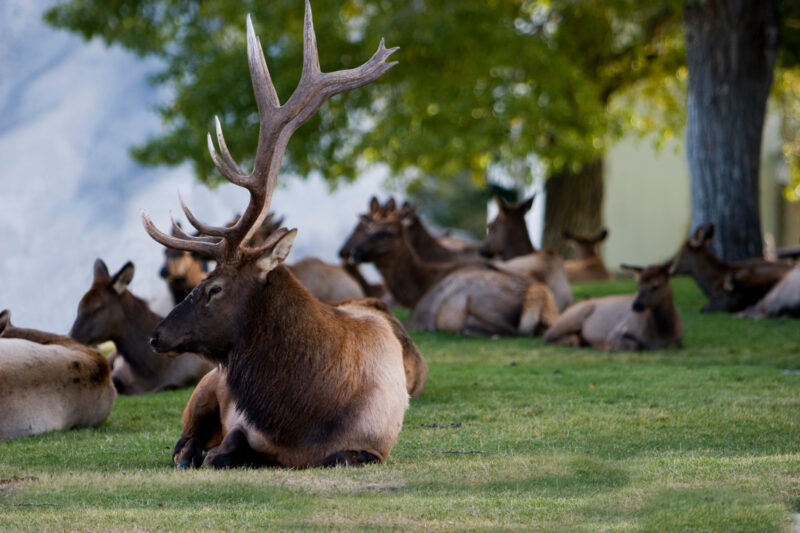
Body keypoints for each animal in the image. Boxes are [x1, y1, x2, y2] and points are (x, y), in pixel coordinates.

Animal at [142, 4, 425, 469]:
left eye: (214, 287)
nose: (157, 334)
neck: (305, 416)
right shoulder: (240, 423)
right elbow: (223, 450)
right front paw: (215, 455)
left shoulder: (372, 445)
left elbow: (337, 455)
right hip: (205, 388)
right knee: (185, 442)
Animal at [543, 261, 683, 351]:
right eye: (638, 286)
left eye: (655, 286)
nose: (635, 305)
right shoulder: (616, 331)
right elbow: (633, 345)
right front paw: (604, 346)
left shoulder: (678, 342)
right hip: (570, 318)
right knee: (547, 336)